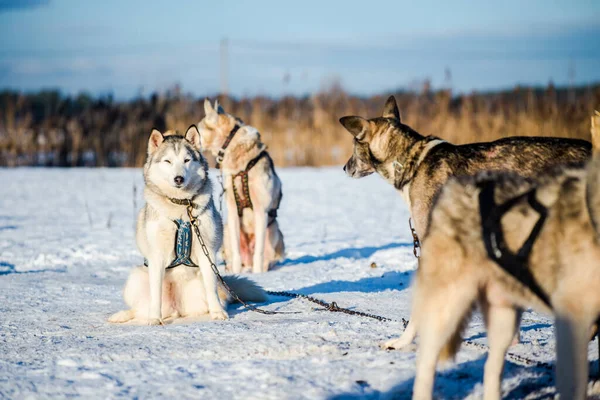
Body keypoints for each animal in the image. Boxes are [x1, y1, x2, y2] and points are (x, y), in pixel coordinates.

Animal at [198, 100, 284, 276]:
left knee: (265, 258)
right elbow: (236, 252)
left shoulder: (260, 210)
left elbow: (259, 252)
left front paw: (259, 276)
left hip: (273, 231)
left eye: (197, 128)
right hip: (226, 230)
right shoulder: (232, 210)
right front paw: (236, 274)